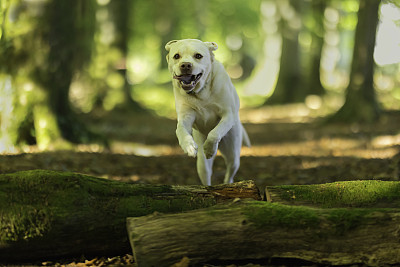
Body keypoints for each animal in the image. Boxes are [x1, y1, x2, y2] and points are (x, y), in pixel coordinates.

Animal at [166, 39, 250, 186]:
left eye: (198, 56)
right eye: (176, 56)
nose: (186, 65)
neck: (201, 93)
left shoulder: (228, 115)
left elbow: (214, 133)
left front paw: (210, 149)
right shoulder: (186, 116)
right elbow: (180, 129)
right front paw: (188, 145)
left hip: (233, 153)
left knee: (230, 172)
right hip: (202, 165)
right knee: (206, 174)